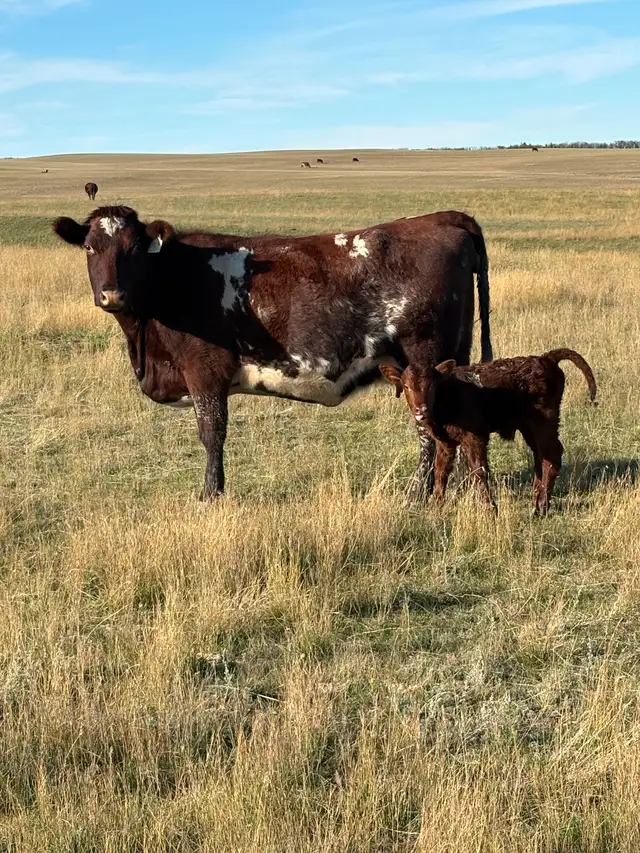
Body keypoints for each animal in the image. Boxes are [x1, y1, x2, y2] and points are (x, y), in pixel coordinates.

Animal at [52, 206, 492, 500]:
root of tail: (441, 217)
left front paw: (211, 495)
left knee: (428, 433)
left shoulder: (204, 373)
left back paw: (417, 495)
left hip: (423, 360)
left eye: (134, 250)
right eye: (90, 247)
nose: (112, 294)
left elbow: (212, 433)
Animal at [381, 349, 597, 514]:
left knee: (552, 456)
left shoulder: (475, 437)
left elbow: (479, 470)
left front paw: (490, 509)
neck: (447, 395)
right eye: (406, 386)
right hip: (529, 426)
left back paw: (541, 508)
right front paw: (436, 506)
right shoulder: (445, 442)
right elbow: (440, 471)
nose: (421, 410)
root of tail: (546, 359)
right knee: (540, 456)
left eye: (432, 386)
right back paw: (536, 501)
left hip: (544, 421)